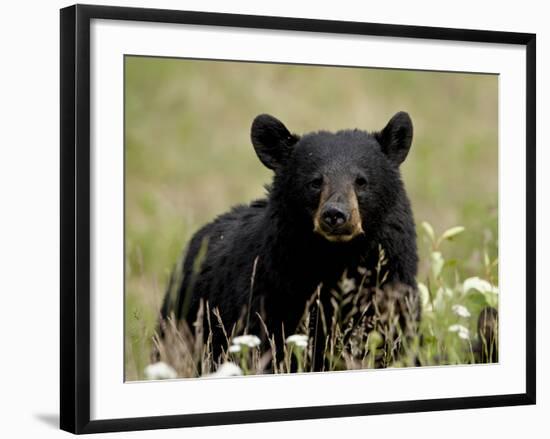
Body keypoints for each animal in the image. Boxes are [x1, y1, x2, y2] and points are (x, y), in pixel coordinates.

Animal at [162, 111, 420, 370]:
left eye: (361, 181)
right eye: (315, 182)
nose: (335, 214)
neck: (337, 260)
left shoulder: (393, 295)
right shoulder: (270, 298)